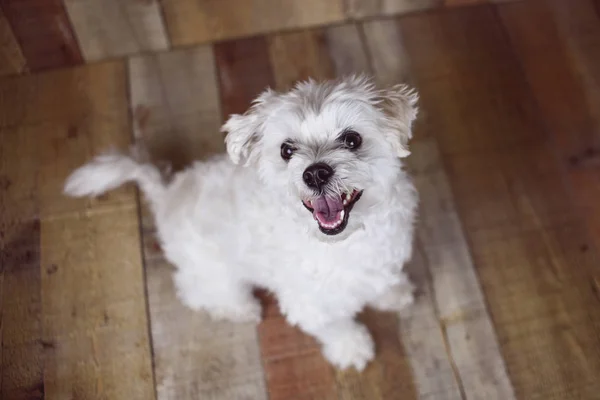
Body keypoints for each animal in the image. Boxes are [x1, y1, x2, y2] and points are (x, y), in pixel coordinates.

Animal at [62, 76, 418, 372]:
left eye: (352, 139)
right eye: (287, 150)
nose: (315, 173)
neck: (345, 241)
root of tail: (165, 195)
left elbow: (382, 280)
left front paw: (393, 293)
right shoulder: (308, 302)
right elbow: (333, 325)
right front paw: (351, 348)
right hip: (214, 273)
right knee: (195, 290)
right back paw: (239, 308)